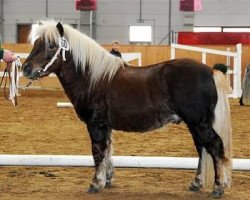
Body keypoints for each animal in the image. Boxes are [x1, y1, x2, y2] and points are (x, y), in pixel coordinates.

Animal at [21, 19, 232, 198]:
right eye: (35, 43)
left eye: (51, 45)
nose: (26, 68)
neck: (92, 77)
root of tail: (211, 71)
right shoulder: (106, 126)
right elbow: (108, 151)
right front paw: (108, 180)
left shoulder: (95, 124)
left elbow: (98, 152)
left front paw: (95, 183)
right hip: (195, 124)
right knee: (202, 149)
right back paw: (196, 183)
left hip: (199, 123)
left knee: (215, 146)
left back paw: (218, 187)